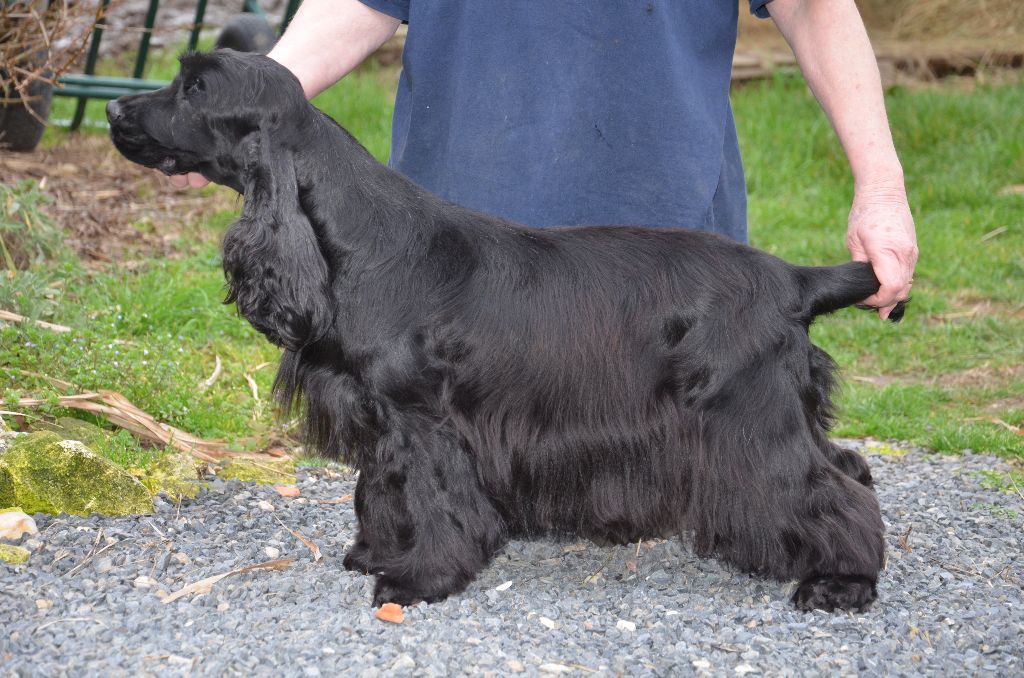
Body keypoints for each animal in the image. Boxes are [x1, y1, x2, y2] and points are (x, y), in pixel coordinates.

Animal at [108, 50, 905, 612]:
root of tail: (792, 279)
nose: (113, 108)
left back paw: (842, 583)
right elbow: (382, 490)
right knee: (849, 464)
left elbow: (430, 498)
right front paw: (377, 553)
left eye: (194, 89)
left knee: (828, 490)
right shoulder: (382, 418)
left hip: (746, 419)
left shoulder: (425, 420)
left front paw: (419, 580)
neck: (352, 237)